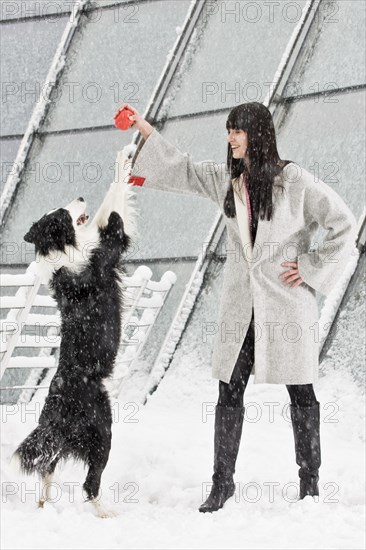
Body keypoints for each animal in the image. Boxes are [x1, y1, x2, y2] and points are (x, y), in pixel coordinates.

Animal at [12, 150, 137, 516]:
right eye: (62, 213)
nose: (80, 196)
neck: (60, 251)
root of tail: (54, 417)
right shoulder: (109, 246)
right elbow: (112, 211)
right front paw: (124, 154)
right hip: (102, 429)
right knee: (89, 482)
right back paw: (106, 513)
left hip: (63, 442)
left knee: (47, 466)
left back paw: (43, 504)